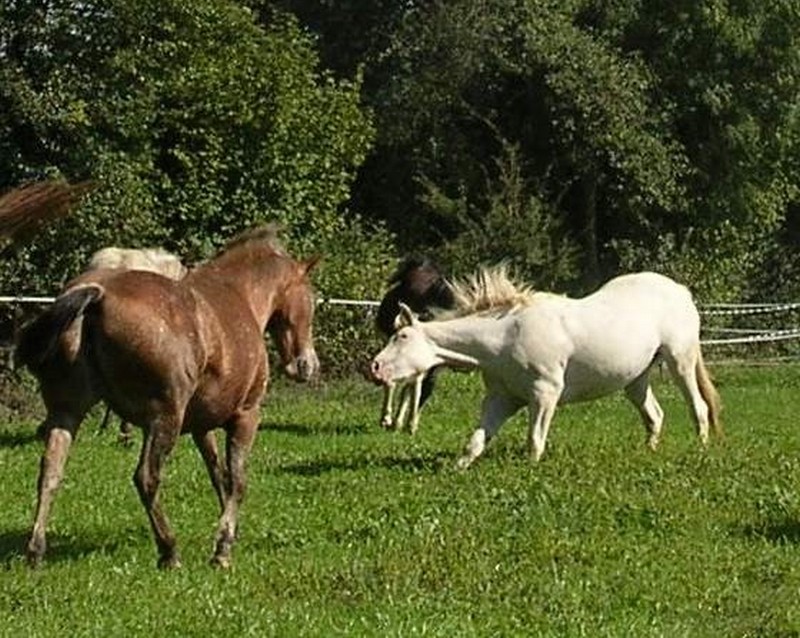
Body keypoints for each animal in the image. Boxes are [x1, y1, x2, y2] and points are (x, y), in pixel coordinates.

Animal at [14, 226, 318, 568]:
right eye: (311, 300)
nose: (307, 365)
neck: (239, 295)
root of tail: (98, 294)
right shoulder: (246, 416)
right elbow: (239, 481)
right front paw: (222, 549)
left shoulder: (201, 427)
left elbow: (220, 475)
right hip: (165, 419)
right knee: (146, 478)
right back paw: (169, 550)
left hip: (67, 412)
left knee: (50, 473)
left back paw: (35, 552)